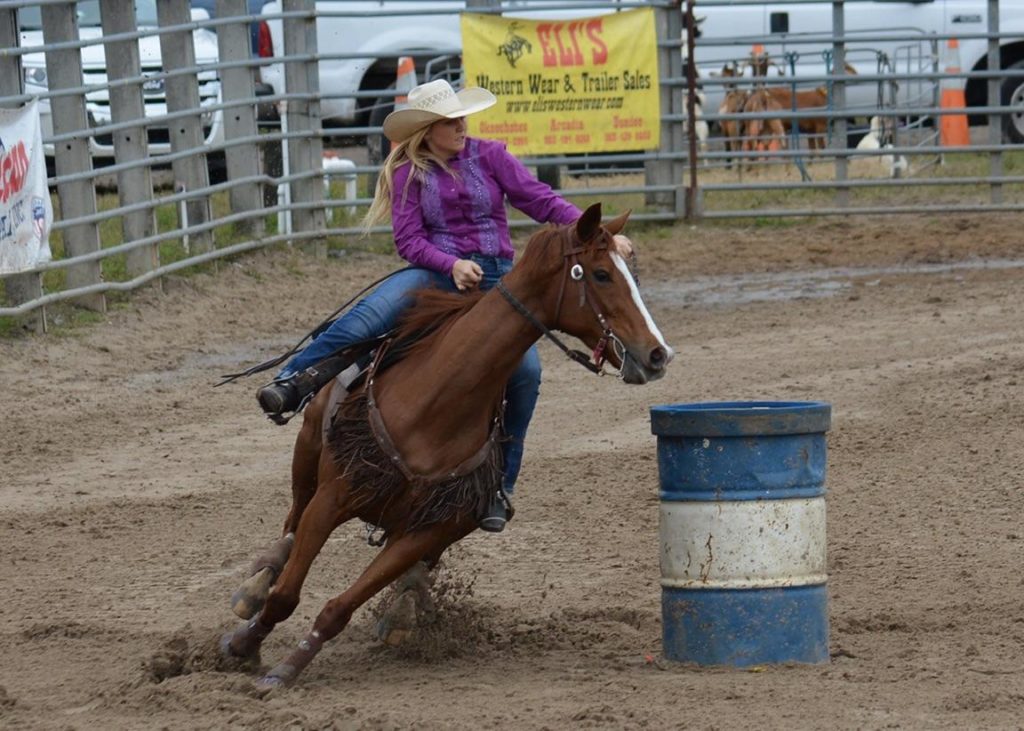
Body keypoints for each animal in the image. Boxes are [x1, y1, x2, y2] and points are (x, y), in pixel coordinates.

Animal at [220, 203, 673, 688]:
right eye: (602, 274)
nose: (658, 354)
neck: (436, 401)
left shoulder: (425, 531)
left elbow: (339, 608)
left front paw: (288, 666)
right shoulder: (334, 496)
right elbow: (286, 593)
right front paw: (244, 645)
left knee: (411, 568)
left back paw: (404, 608)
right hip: (306, 453)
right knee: (290, 524)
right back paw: (256, 584)